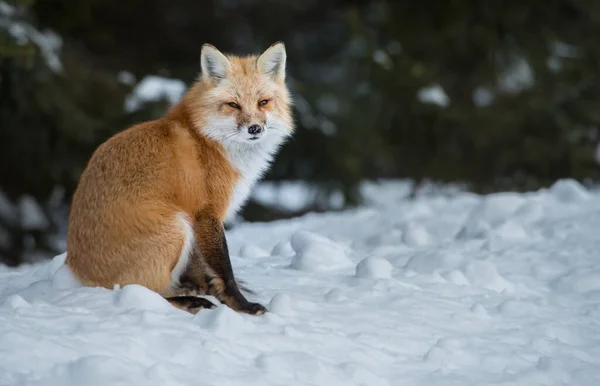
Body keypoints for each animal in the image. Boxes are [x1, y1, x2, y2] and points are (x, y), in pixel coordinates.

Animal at [65, 42, 296, 316]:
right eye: (233, 105)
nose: (255, 129)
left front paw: (210, 289)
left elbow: (202, 267)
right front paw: (242, 306)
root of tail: (77, 270)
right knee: (145, 291)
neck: (208, 139)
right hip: (176, 229)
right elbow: (224, 269)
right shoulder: (206, 213)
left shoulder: (199, 221)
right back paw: (189, 301)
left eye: (263, 102)